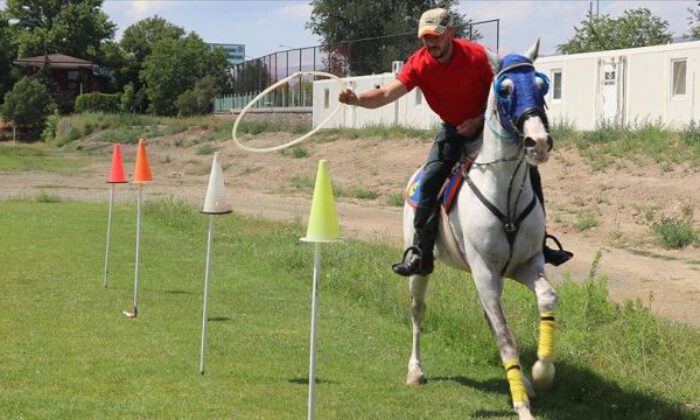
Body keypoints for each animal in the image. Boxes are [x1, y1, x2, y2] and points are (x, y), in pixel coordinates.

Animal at [404, 40, 556, 420]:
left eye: (542, 84)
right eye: (505, 89)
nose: (538, 142)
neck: (504, 188)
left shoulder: (526, 265)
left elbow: (546, 298)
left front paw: (541, 373)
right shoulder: (485, 271)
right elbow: (506, 338)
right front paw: (522, 406)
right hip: (422, 270)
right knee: (417, 312)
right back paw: (415, 370)